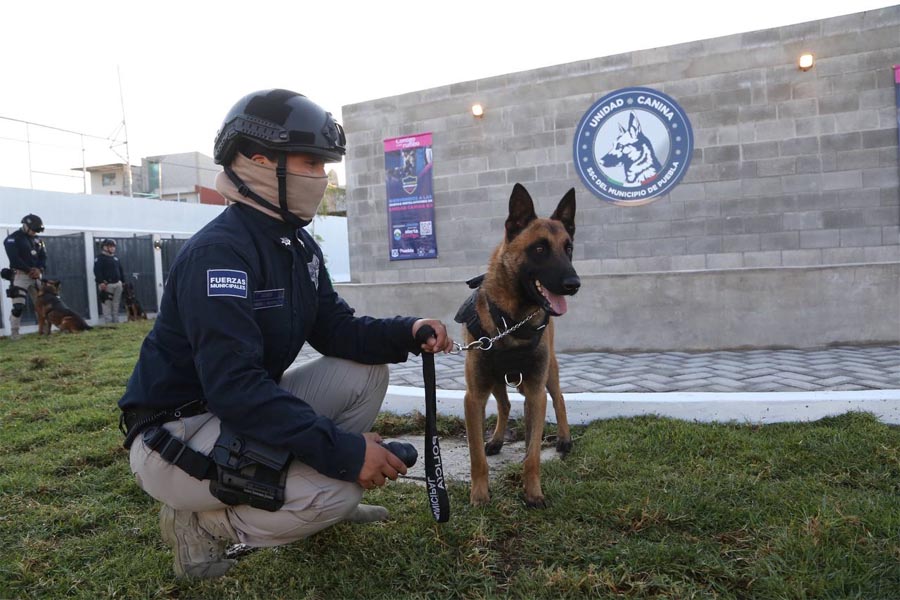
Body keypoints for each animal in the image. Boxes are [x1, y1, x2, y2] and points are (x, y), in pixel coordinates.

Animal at [454, 182, 580, 506]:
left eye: (568, 248)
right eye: (539, 249)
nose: (574, 284)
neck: (511, 322)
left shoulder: (535, 393)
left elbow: (532, 454)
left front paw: (533, 493)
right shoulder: (474, 396)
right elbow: (476, 457)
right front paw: (479, 495)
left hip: (547, 374)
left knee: (558, 397)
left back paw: (564, 439)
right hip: (496, 380)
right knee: (505, 404)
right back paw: (497, 440)